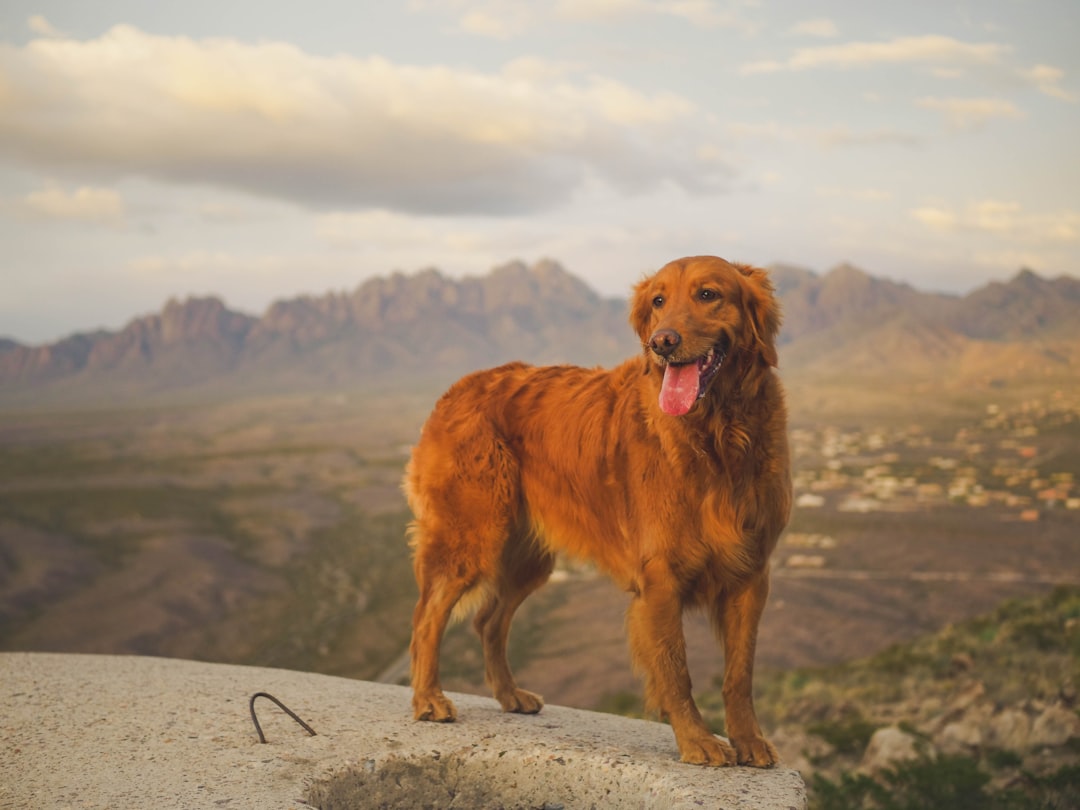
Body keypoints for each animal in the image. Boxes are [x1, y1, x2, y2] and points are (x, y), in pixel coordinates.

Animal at [401, 257, 790, 768]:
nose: (661, 343)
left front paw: (748, 740)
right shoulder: (660, 579)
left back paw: (509, 695)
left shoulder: (750, 574)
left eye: (708, 294)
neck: (717, 436)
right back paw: (428, 699)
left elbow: (739, 674)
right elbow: (676, 670)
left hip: (527, 558)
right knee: (427, 617)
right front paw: (698, 741)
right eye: (658, 301)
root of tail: (460, 386)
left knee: (489, 621)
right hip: (471, 535)